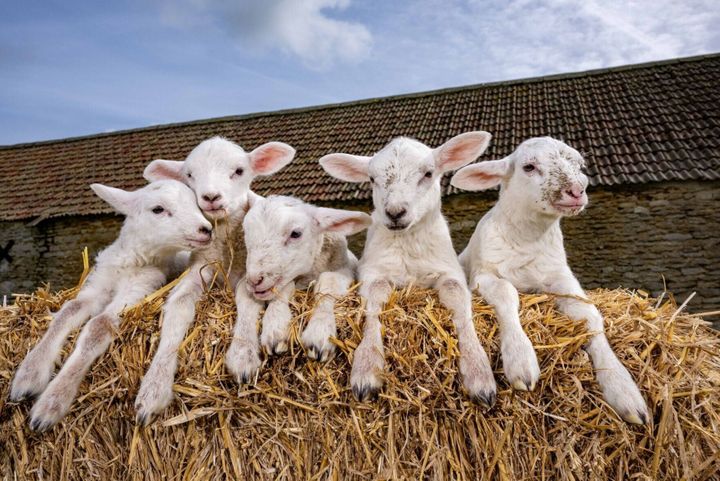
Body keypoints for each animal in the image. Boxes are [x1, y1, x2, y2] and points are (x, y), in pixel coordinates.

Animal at [10, 180, 212, 430]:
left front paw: (53, 401)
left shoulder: (139, 287)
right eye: (157, 209)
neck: (132, 260)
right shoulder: (97, 285)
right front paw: (29, 374)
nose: (206, 229)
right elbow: (69, 310)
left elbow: (99, 325)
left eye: (196, 203)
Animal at [135, 136, 295, 423]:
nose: (210, 197)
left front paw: (243, 355)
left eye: (239, 171)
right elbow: (178, 305)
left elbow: (247, 297)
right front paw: (154, 387)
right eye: (189, 175)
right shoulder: (201, 266)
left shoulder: (248, 271)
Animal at [227, 194, 372, 380]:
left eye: (295, 234)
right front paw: (243, 353)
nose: (254, 280)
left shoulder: (344, 271)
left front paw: (319, 333)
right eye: (245, 232)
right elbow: (247, 299)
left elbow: (327, 283)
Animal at [319, 132, 498, 405]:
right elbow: (376, 296)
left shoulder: (450, 270)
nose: (394, 212)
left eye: (428, 173)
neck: (408, 245)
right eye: (372, 179)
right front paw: (367, 366)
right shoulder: (372, 271)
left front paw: (479, 371)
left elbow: (456, 293)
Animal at [450, 136, 649, 424]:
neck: (527, 240)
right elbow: (507, 293)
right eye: (529, 167)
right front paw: (521, 359)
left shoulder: (561, 276)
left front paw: (623, 387)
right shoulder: (483, 275)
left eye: (580, 166)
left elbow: (590, 314)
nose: (576, 191)